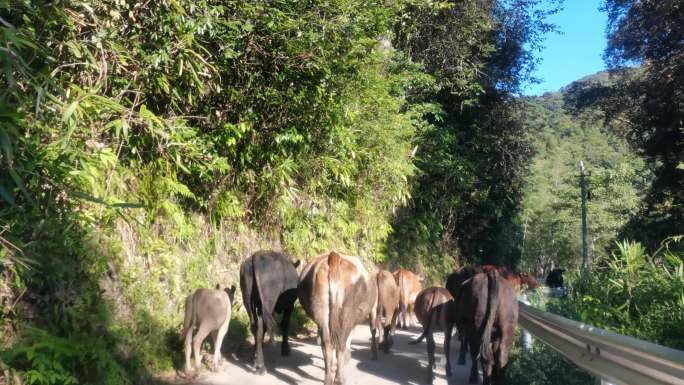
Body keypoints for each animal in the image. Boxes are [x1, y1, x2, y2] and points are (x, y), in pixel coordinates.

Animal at [298, 250, 380, 382]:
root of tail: (334, 257)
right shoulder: (373, 308)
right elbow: (372, 329)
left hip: (321, 312)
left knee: (327, 345)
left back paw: (328, 379)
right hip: (347, 312)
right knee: (341, 343)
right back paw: (339, 378)